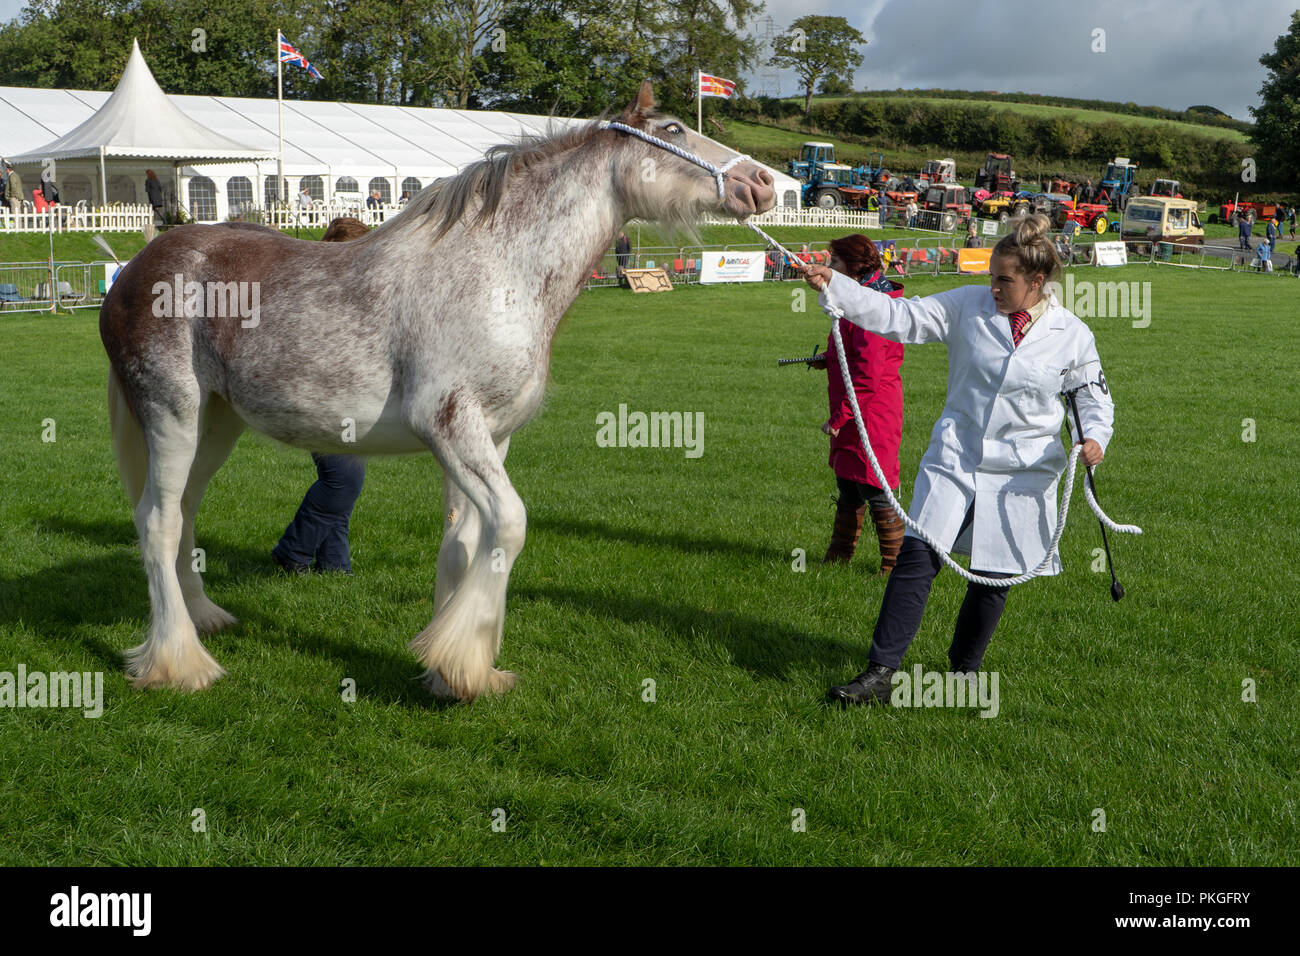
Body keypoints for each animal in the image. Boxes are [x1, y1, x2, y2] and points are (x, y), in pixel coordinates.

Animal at [104, 82, 769, 702]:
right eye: (674, 129)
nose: (762, 183)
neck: (498, 271)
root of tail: (134, 269)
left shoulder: (490, 437)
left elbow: (465, 542)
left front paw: (451, 668)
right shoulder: (449, 425)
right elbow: (510, 526)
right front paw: (462, 662)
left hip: (216, 425)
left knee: (184, 514)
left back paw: (203, 619)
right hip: (172, 417)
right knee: (157, 522)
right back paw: (180, 663)